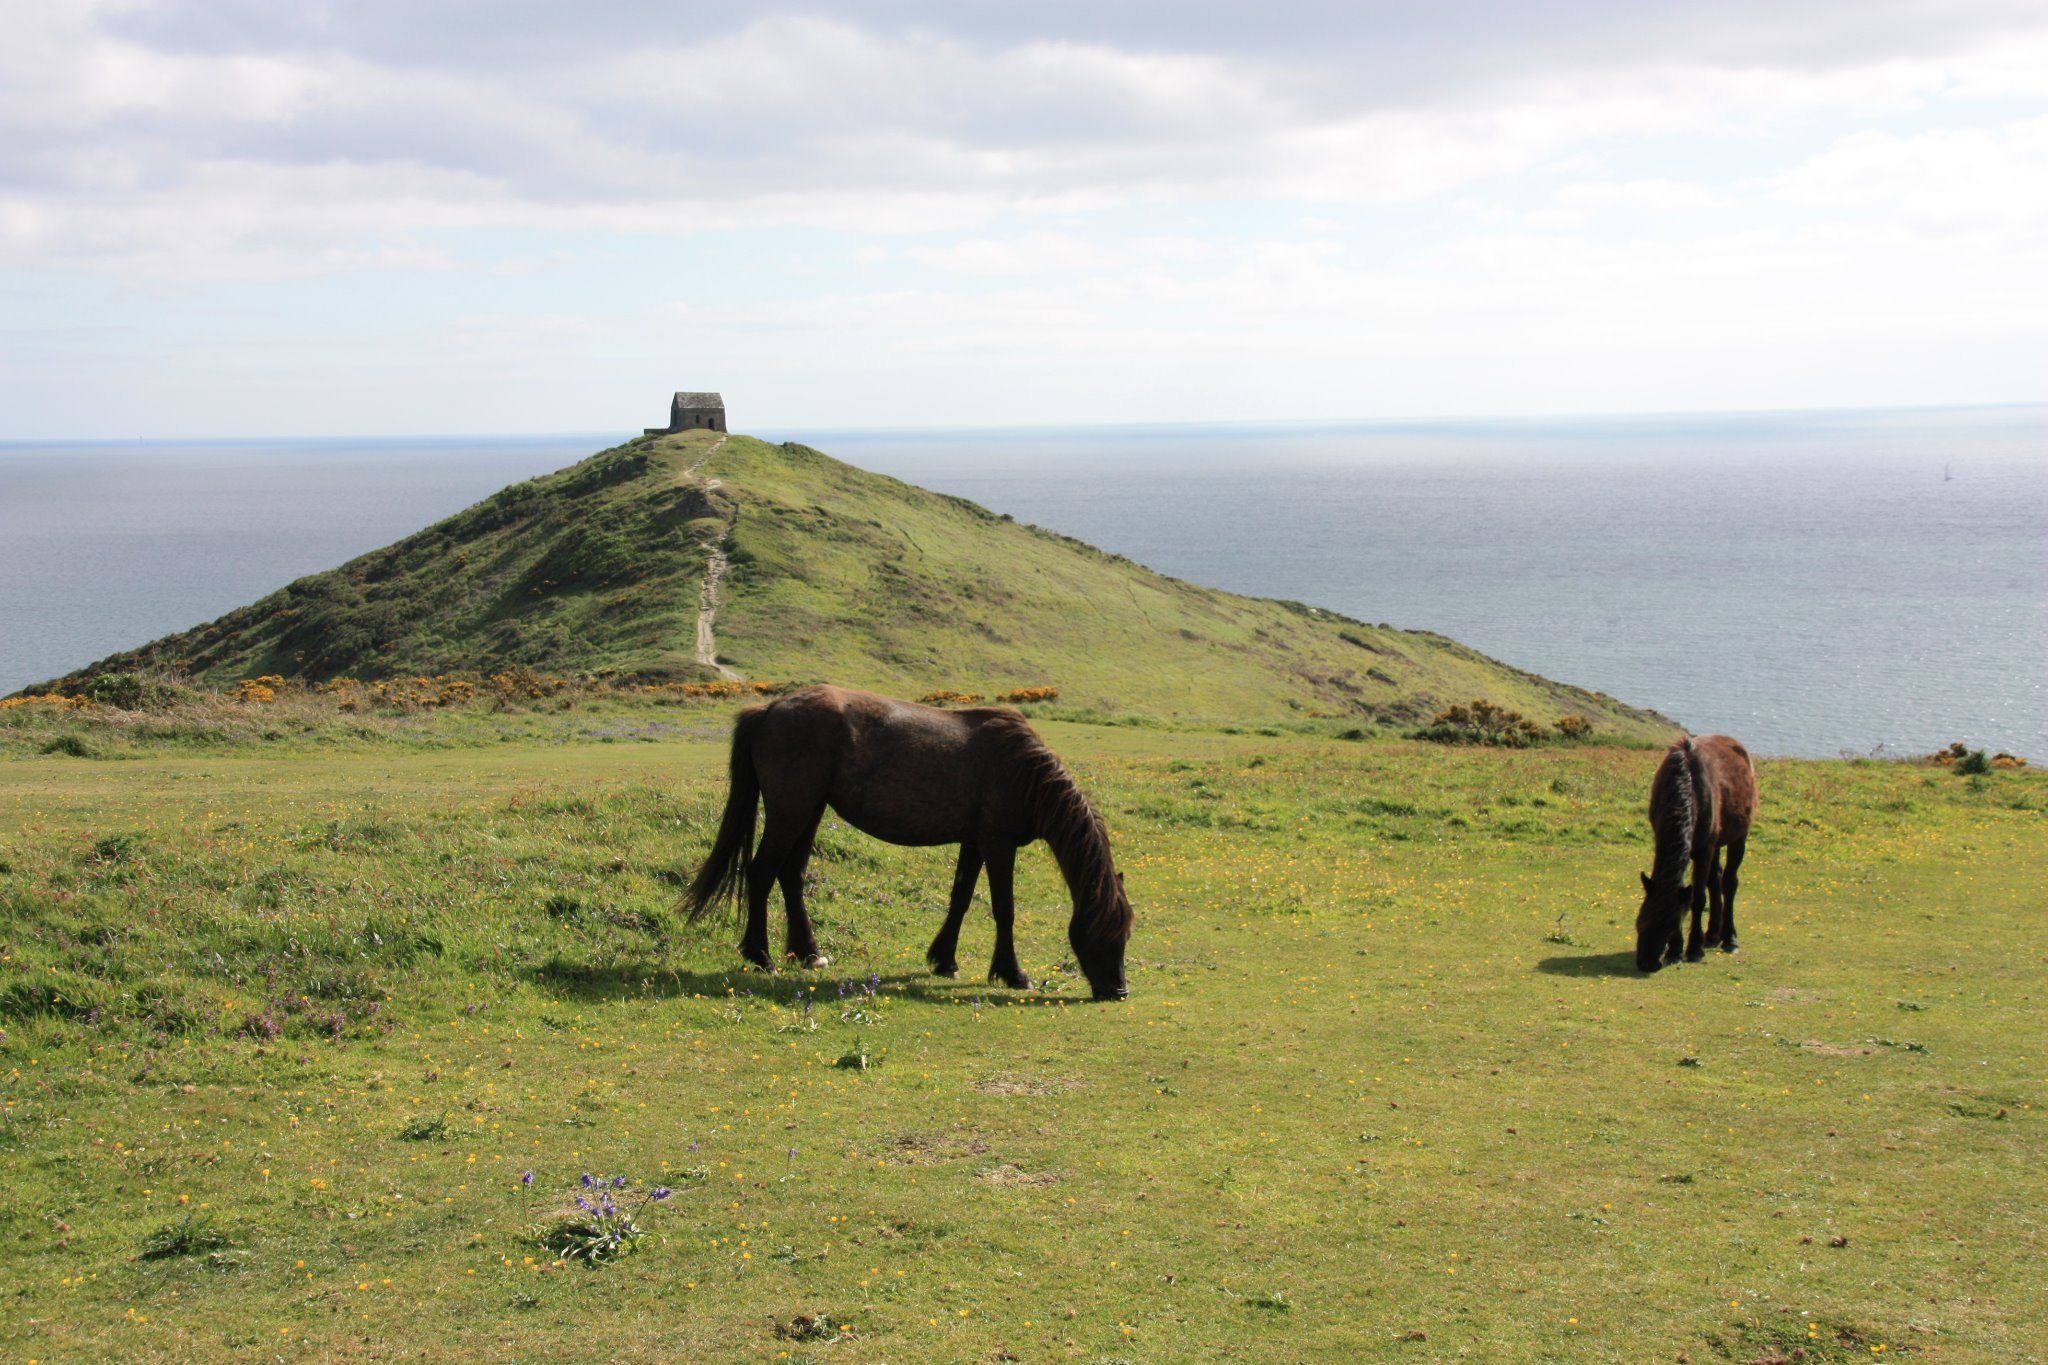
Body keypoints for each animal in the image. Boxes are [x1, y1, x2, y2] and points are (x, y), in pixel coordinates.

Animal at [684, 687, 1138, 998]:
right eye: (1101, 928)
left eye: (1126, 932)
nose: (1118, 991)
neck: (1022, 772)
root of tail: (770, 709)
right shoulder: (998, 844)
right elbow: (1003, 909)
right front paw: (1013, 973)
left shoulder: (974, 842)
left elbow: (960, 899)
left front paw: (945, 960)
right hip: (790, 811)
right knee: (761, 873)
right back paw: (761, 956)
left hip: (810, 811)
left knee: (790, 875)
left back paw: (808, 953)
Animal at [1630, 736, 1761, 970]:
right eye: (1641, 920)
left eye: (1670, 925)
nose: (1647, 962)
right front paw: (1675, 951)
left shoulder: (1703, 850)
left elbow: (1697, 898)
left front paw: (1693, 949)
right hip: (1716, 845)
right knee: (1715, 879)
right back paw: (1712, 935)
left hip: (1738, 837)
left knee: (1729, 882)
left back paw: (1729, 939)